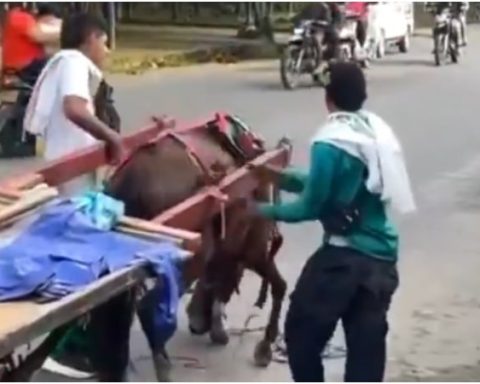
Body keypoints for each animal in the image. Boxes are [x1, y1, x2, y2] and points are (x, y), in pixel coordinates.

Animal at [105, 115, 288, 380]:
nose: (198, 325)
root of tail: (134, 180)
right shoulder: (252, 248)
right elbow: (279, 286)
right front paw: (265, 345)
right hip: (193, 257)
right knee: (146, 306)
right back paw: (163, 366)